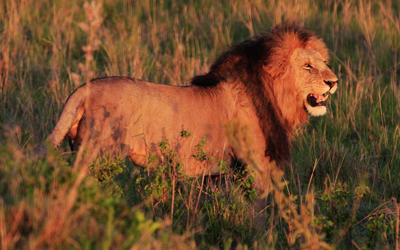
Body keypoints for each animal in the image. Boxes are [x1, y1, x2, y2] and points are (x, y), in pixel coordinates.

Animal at [37, 23, 338, 217]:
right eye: (308, 66)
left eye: (324, 63)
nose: (334, 81)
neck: (276, 96)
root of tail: (83, 89)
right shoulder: (255, 168)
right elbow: (258, 214)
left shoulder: (217, 174)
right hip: (98, 156)